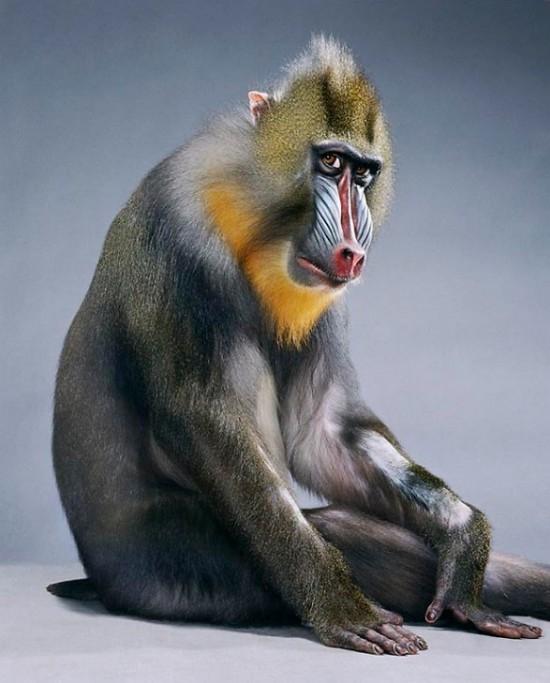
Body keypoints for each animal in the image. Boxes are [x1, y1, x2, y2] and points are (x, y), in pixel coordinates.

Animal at [48, 37, 549, 656]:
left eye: (364, 174)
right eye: (330, 163)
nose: (353, 252)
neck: (246, 216)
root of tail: (100, 579)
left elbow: (323, 431)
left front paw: (463, 538)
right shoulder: (179, 236)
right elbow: (208, 421)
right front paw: (341, 606)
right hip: (167, 569)